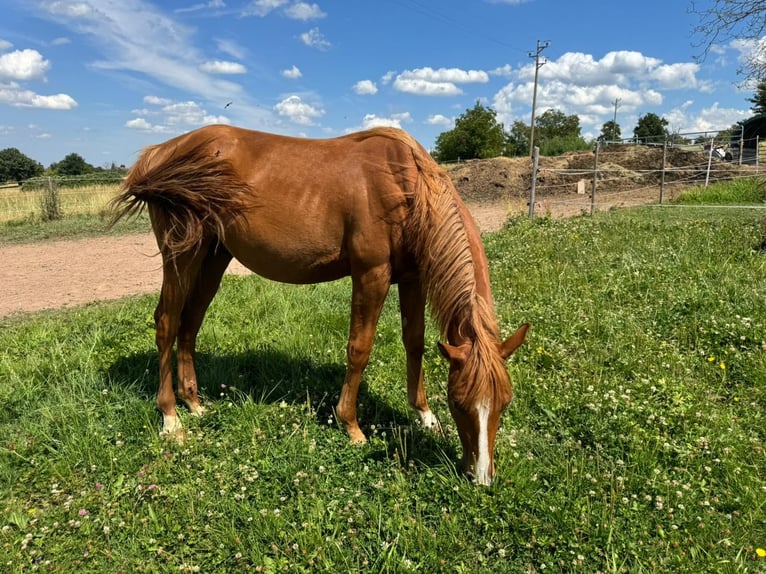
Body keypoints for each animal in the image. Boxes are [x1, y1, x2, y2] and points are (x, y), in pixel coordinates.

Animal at [109, 125, 528, 486]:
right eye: (458, 402)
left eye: (504, 403)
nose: (481, 477)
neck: (404, 185)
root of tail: (162, 150)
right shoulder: (371, 275)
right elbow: (359, 349)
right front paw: (351, 425)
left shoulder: (412, 278)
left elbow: (415, 343)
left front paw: (424, 416)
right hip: (181, 255)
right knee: (167, 323)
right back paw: (171, 418)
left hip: (213, 257)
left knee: (190, 324)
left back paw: (194, 403)